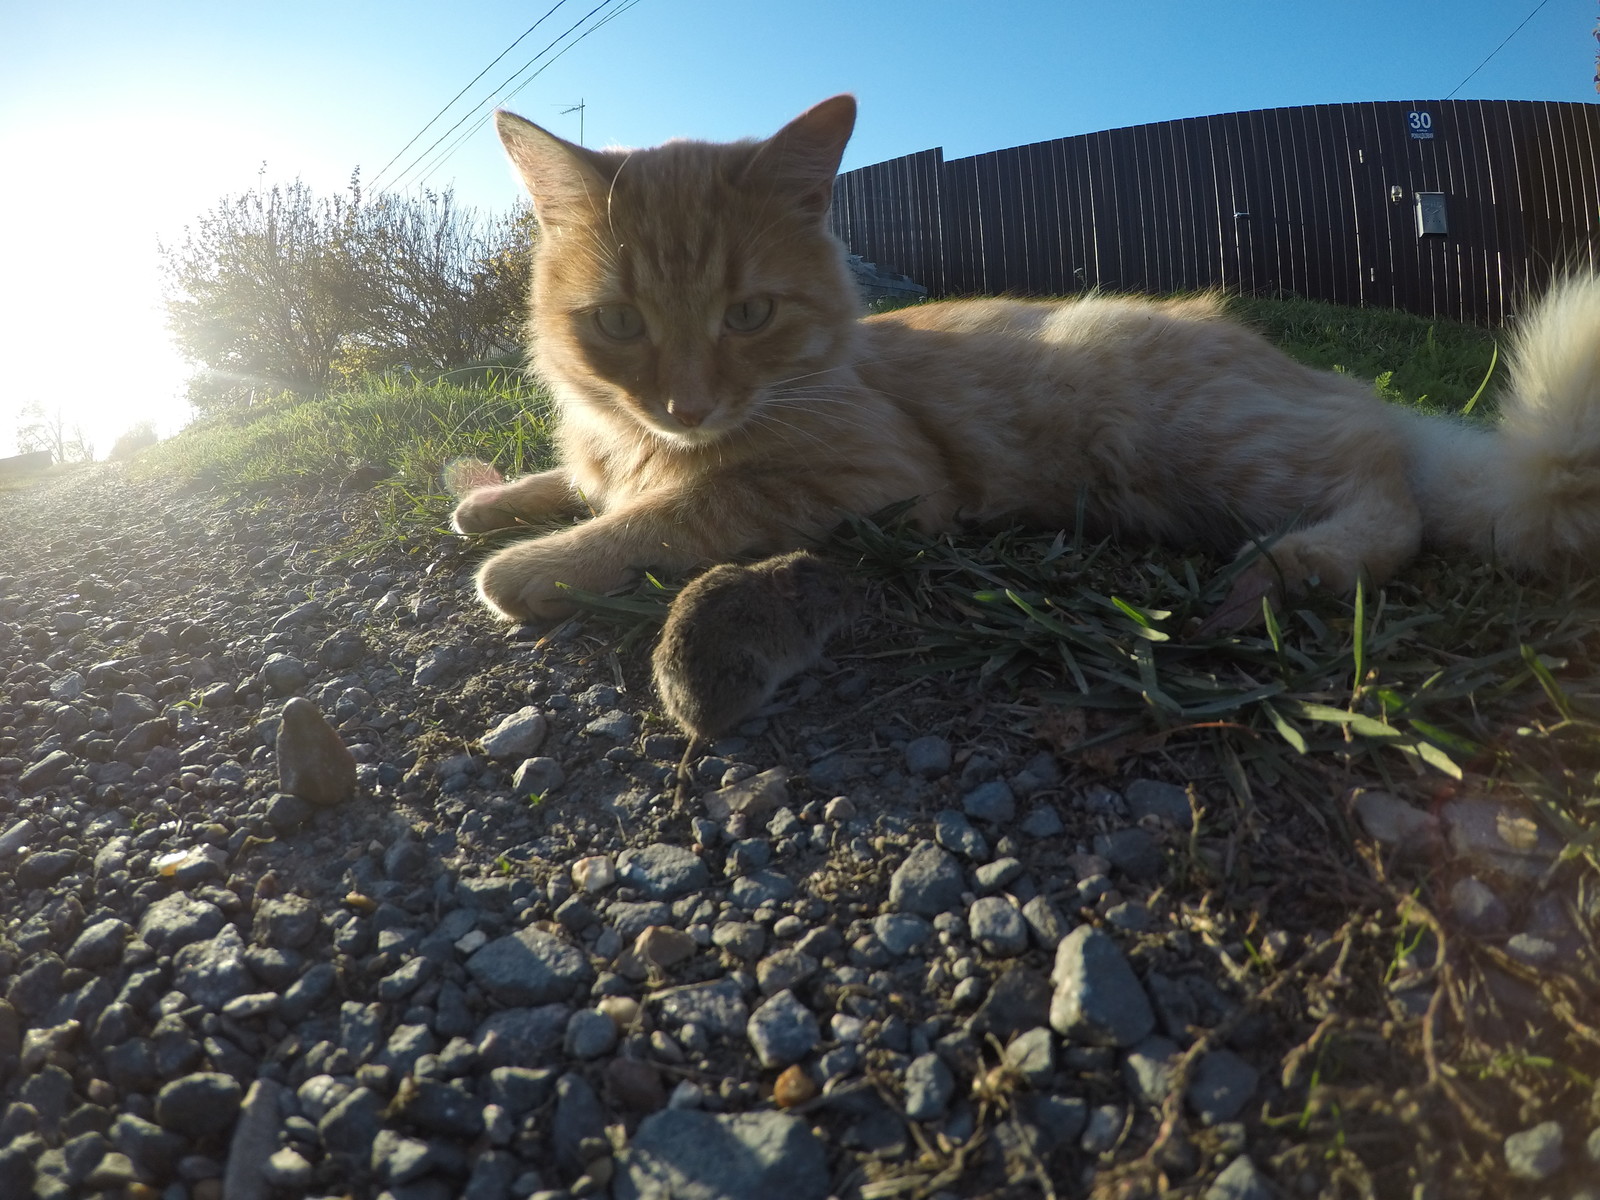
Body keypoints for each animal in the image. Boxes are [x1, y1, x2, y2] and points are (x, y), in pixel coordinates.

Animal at [451, 96, 1600, 630]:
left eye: (749, 314)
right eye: (619, 322)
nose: (685, 406)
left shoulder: (873, 482)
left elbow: (670, 513)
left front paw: (529, 566)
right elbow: (580, 483)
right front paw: (501, 499)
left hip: (1191, 437)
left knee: (1390, 501)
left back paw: (1289, 571)